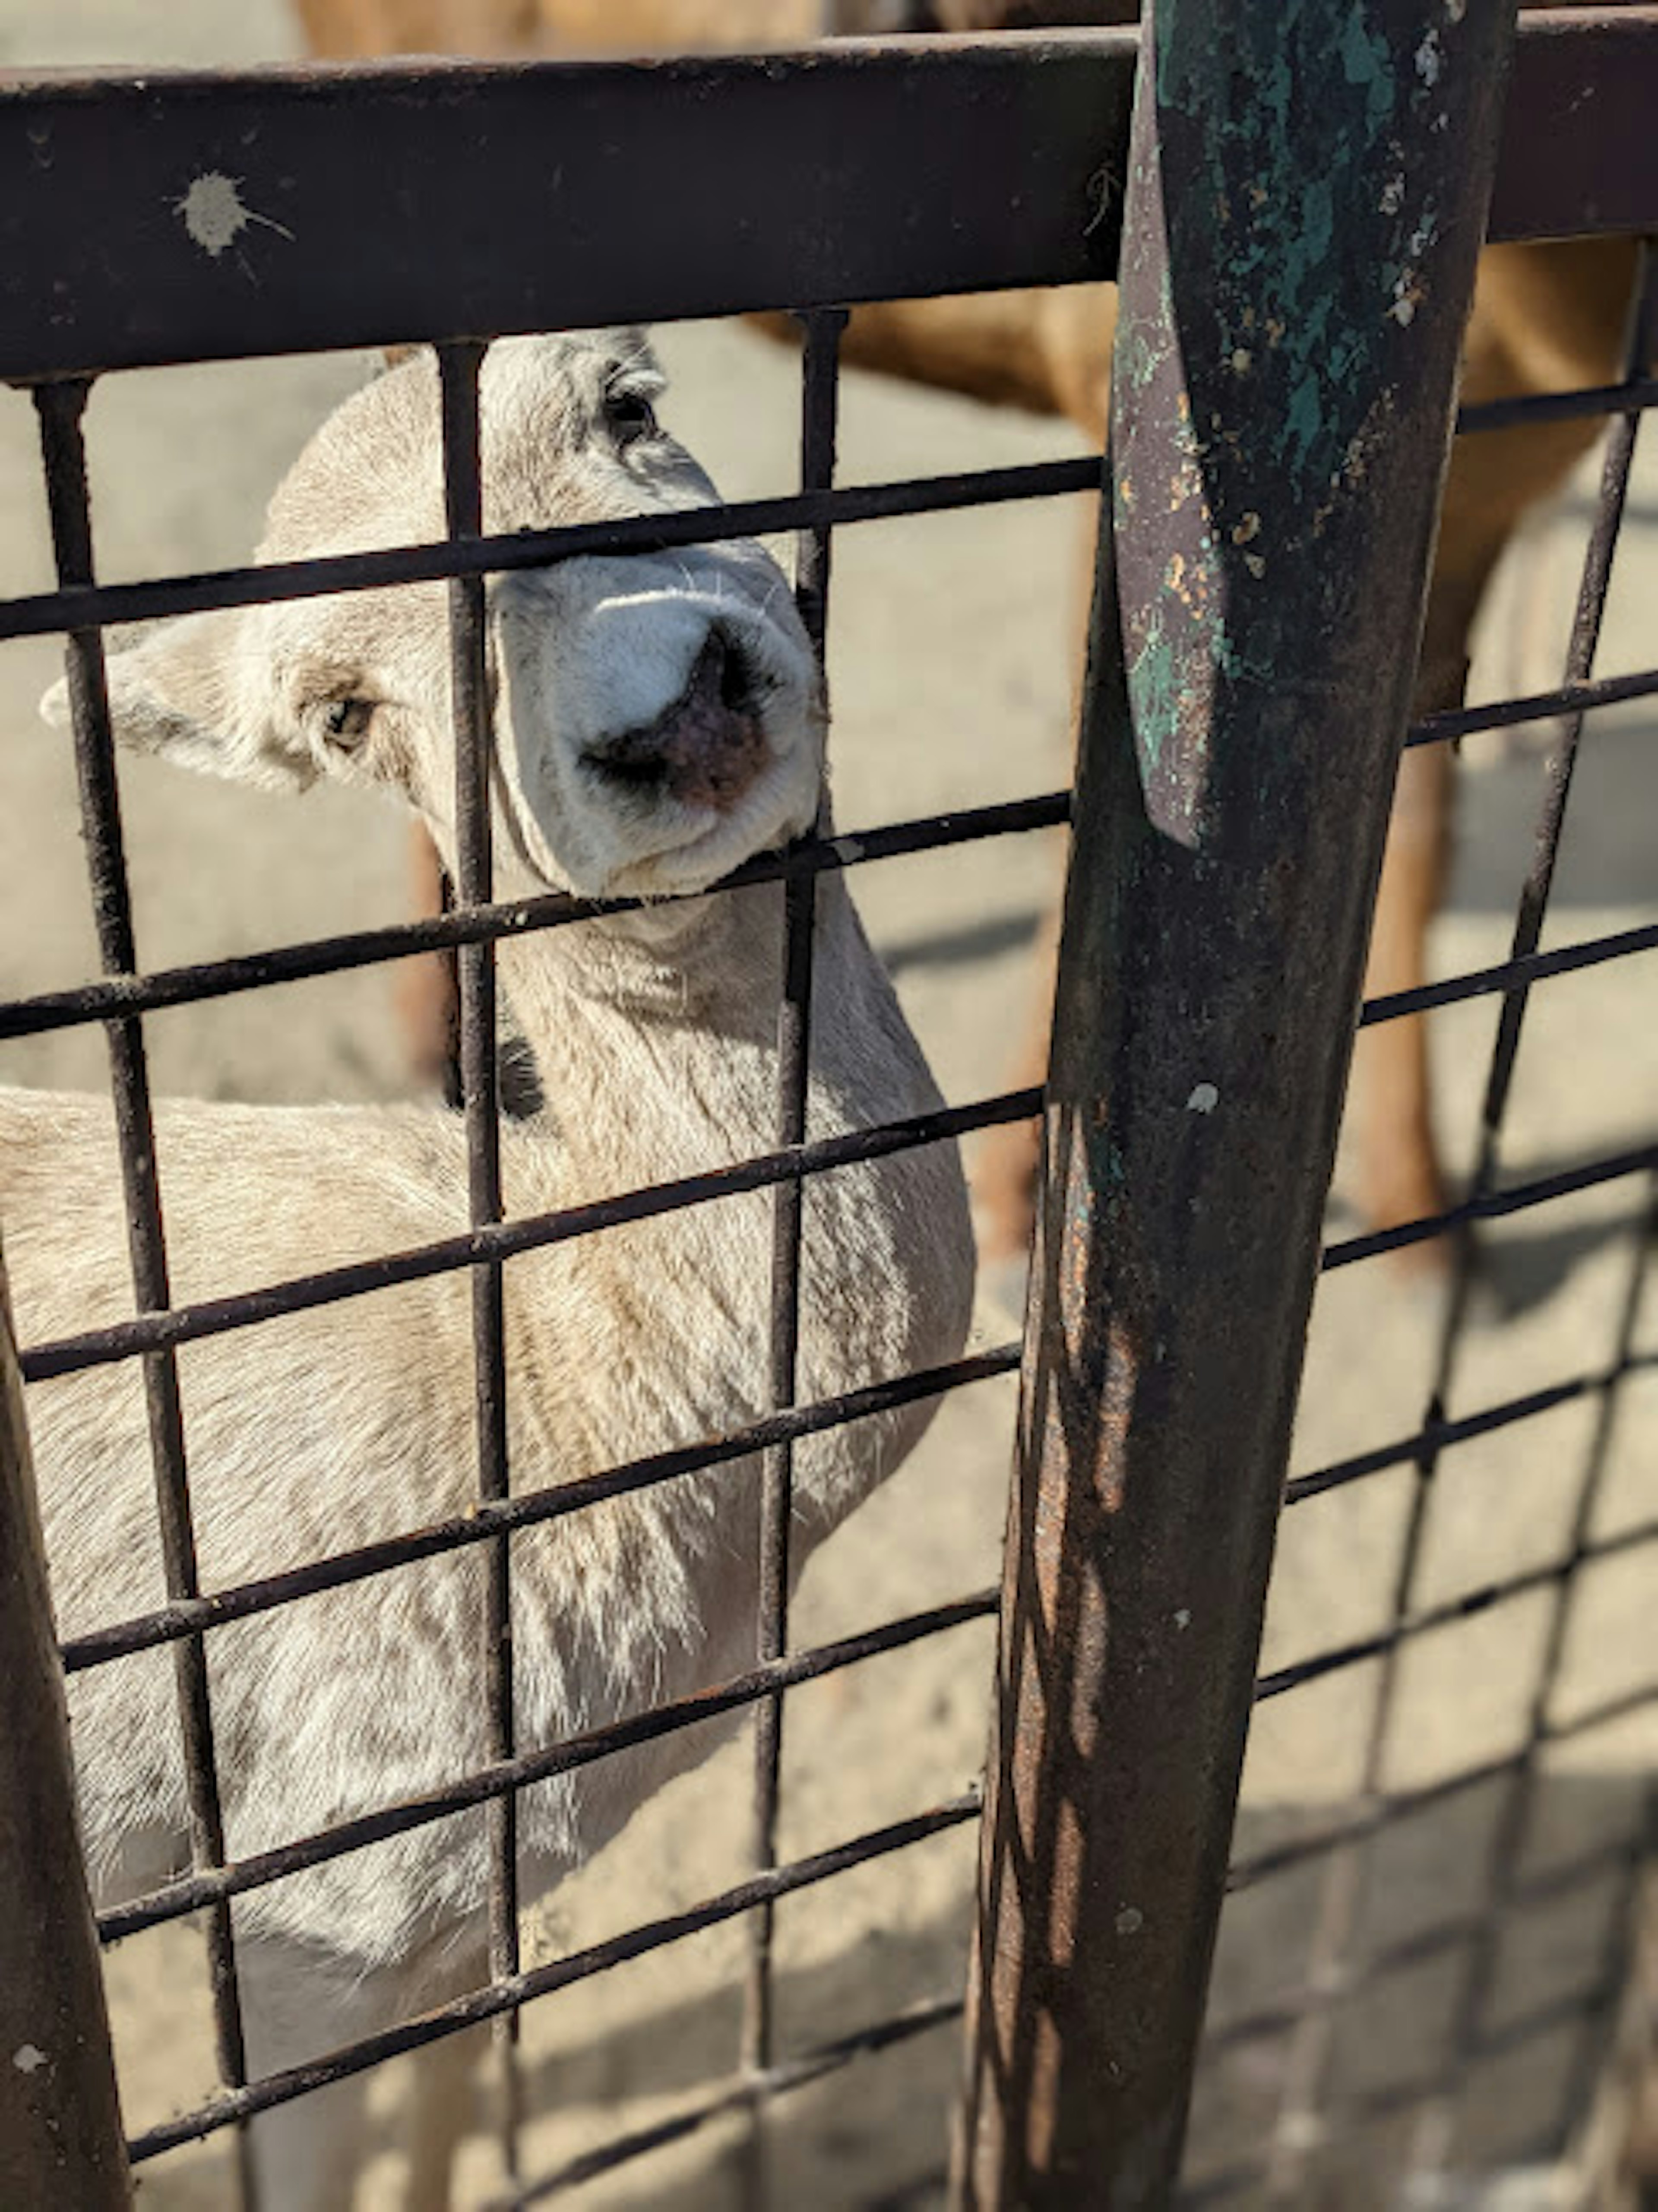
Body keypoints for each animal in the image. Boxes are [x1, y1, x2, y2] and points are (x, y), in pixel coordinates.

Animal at [6, 332, 981, 2212]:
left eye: (627, 402)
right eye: (339, 712)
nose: (664, 703)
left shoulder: (476, 1907)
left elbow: (456, 2102)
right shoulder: (315, 1911)